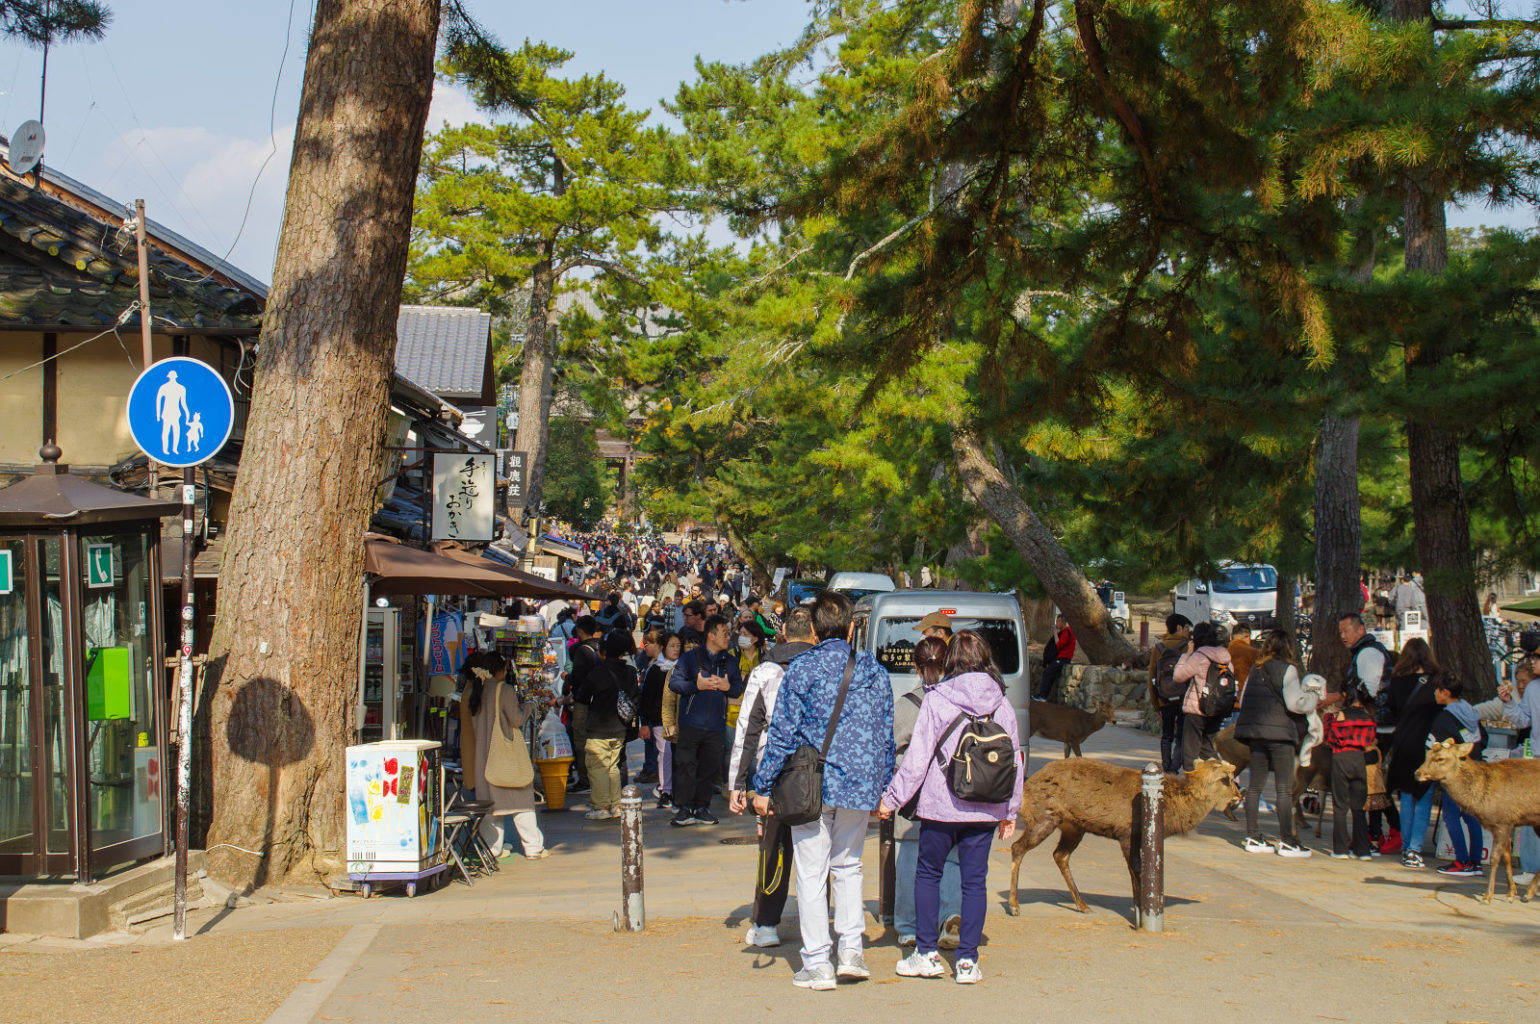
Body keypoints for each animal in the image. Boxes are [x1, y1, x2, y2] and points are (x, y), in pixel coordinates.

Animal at [1004, 754, 1244, 911]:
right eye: (1227, 780)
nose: (1239, 796)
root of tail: (1026, 789)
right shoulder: (1128, 832)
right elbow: (1135, 870)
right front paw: (1139, 909)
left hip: (1074, 826)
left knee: (1060, 855)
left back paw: (1082, 904)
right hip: (1044, 816)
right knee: (1017, 847)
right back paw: (1015, 905)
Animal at [1410, 739, 1540, 899]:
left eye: (1440, 758)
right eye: (1427, 754)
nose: (1417, 773)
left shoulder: (1502, 821)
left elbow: (1495, 857)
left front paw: (1487, 896)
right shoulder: (1506, 824)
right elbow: (1507, 856)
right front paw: (1510, 893)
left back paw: (1529, 893)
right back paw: (1529, 893)